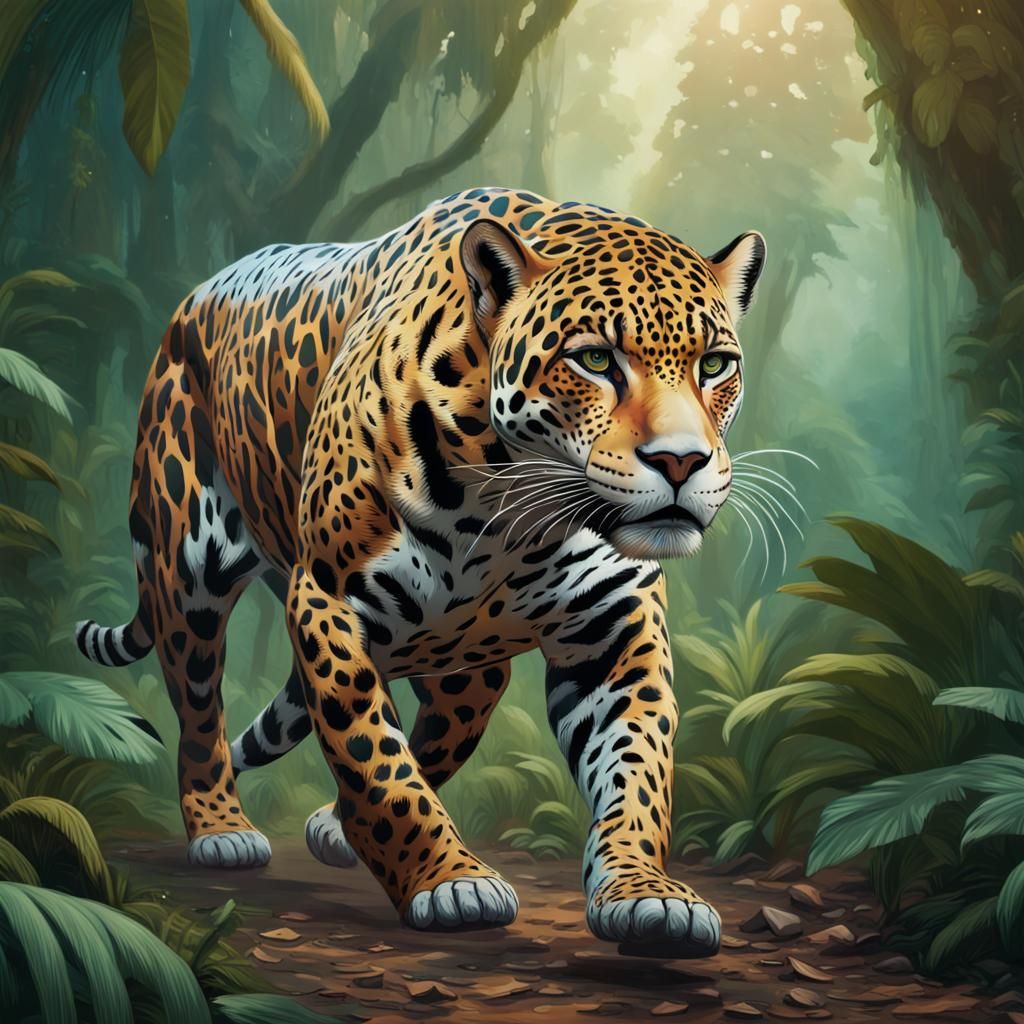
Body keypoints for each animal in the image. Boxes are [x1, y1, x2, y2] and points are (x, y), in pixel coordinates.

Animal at [76, 187, 765, 957]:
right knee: (199, 708)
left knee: (445, 721)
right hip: (188, 566)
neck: (516, 514)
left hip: (462, 657)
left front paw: (646, 892)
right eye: (592, 358)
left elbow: (636, 769)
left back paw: (330, 824)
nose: (682, 462)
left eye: (715, 365)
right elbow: (374, 757)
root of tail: (194, 298)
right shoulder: (327, 599)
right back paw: (221, 828)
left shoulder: (614, 630)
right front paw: (450, 881)